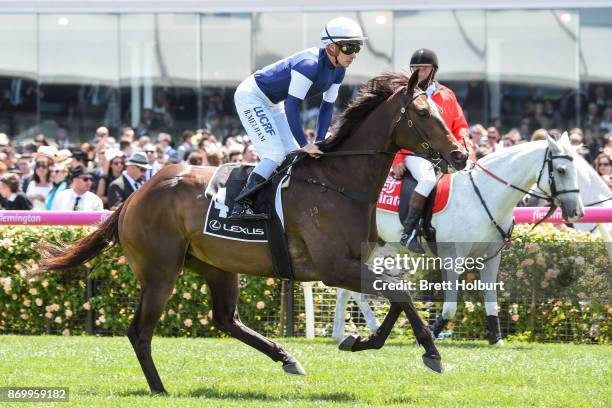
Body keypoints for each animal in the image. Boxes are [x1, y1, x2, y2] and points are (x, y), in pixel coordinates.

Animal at [33, 69, 468, 392]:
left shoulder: (356, 261)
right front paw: (431, 352)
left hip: (216, 267)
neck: (338, 181)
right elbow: (401, 293)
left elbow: (397, 295)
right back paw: (159, 388)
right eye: (423, 113)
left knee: (226, 319)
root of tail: (135, 196)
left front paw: (360, 340)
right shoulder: (332, 267)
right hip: (160, 272)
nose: (460, 154)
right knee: (139, 331)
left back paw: (287, 357)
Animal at [340, 134, 584, 350]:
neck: (483, 196)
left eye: (577, 170)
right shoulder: (452, 258)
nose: (577, 212)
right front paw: (432, 332)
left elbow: (491, 299)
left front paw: (496, 338)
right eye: (561, 170)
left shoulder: (491, 258)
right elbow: (449, 307)